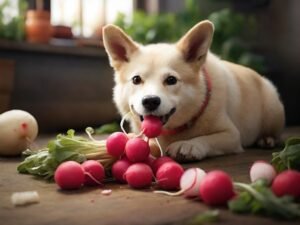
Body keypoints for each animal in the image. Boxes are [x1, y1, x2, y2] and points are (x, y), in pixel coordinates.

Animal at [102, 19, 284, 162]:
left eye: (171, 80)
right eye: (136, 79)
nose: (150, 101)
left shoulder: (231, 135)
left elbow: (208, 139)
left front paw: (190, 145)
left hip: (272, 108)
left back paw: (267, 139)